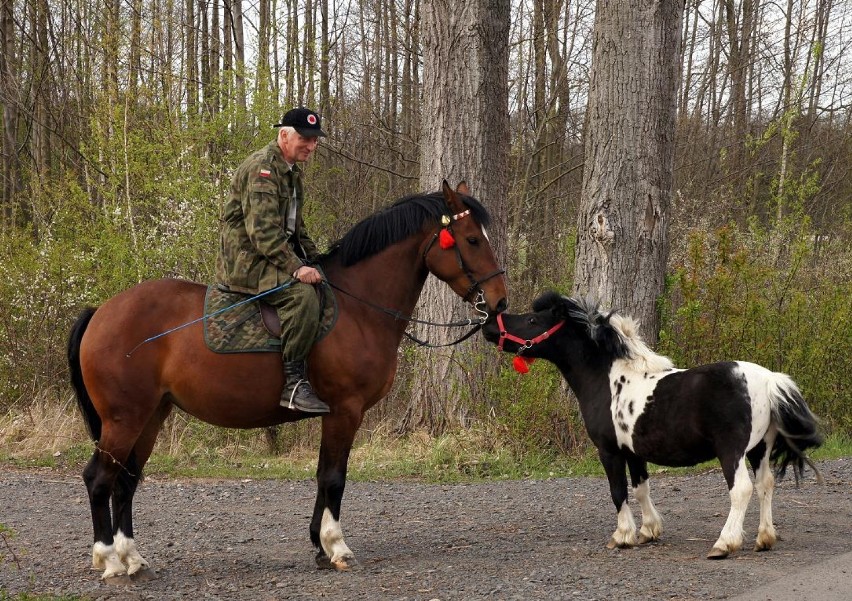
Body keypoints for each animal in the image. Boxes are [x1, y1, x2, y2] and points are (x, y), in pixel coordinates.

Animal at [68, 182, 506, 576]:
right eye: (471, 239)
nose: (500, 302)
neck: (357, 308)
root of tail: (101, 312)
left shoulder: (336, 414)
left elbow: (322, 476)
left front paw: (319, 546)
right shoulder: (345, 411)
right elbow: (333, 478)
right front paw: (336, 546)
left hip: (150, 416)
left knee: (126, 481)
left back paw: (132, 557)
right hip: (124, 419)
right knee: (99, 479)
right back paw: (109, 560)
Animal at [482, 290, 824, 556]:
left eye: (532, 321)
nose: (488, 324)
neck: (608, 380)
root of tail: (768, 379)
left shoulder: (609, 451)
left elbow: (617, 490)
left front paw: (622, 536)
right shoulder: (634, 452)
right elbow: (641, 489)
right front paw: (648, 531)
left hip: (733, 451)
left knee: (741, 489)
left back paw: (724, 544)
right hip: (760, 449)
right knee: (766, 484)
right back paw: (764, 539)